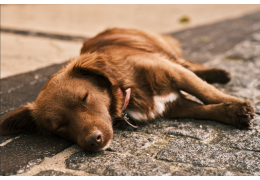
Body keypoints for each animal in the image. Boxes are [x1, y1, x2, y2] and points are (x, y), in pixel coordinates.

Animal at [0, 28, 255, 152]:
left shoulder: (173, 71)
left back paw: (219, 73)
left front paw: (237, 105)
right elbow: (203, 109)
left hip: (166, 51)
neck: (127, 88)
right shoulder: (174, 105)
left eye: (84, 98)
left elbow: (206, 92)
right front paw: (232, 113)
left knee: (190, 64)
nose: (93, 141)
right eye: (59, 127)